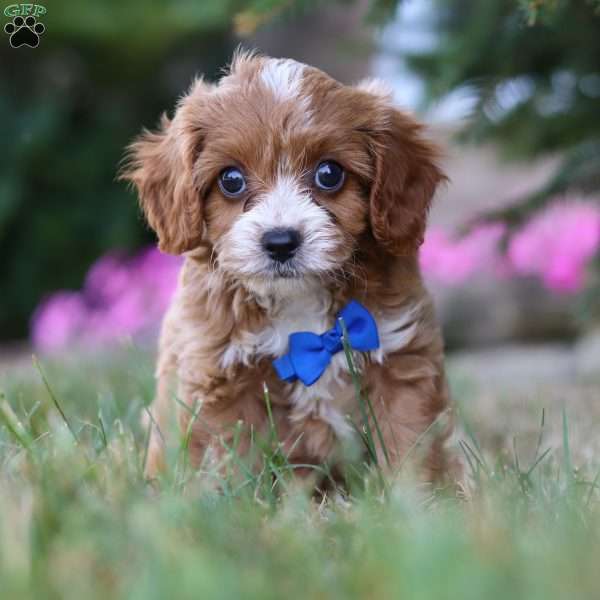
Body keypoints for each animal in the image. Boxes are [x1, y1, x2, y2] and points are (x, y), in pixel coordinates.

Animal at [124, 50, 458, 482]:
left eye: (329, 174)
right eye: (231, 180)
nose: (280, 241)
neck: (297, 301)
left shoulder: (401, 359)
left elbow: (409, 444)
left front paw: (416, 496)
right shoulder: (220, 376)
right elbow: (229, 460)